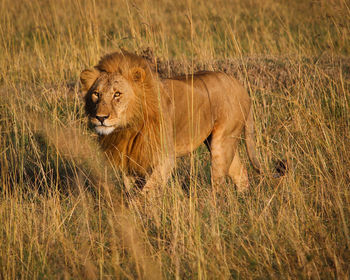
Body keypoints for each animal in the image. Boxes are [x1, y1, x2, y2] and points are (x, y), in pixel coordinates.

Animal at [80, 50, 266, 192]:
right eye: (96, 94)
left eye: (117, 94)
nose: (101, 117)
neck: (128, 126)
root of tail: (240, 87)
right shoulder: (130, 157)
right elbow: (131, 190)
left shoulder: (165, 158)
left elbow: (146, 192)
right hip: (218, 140)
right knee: (240, 172)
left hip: (223, 141)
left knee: (218, 183)